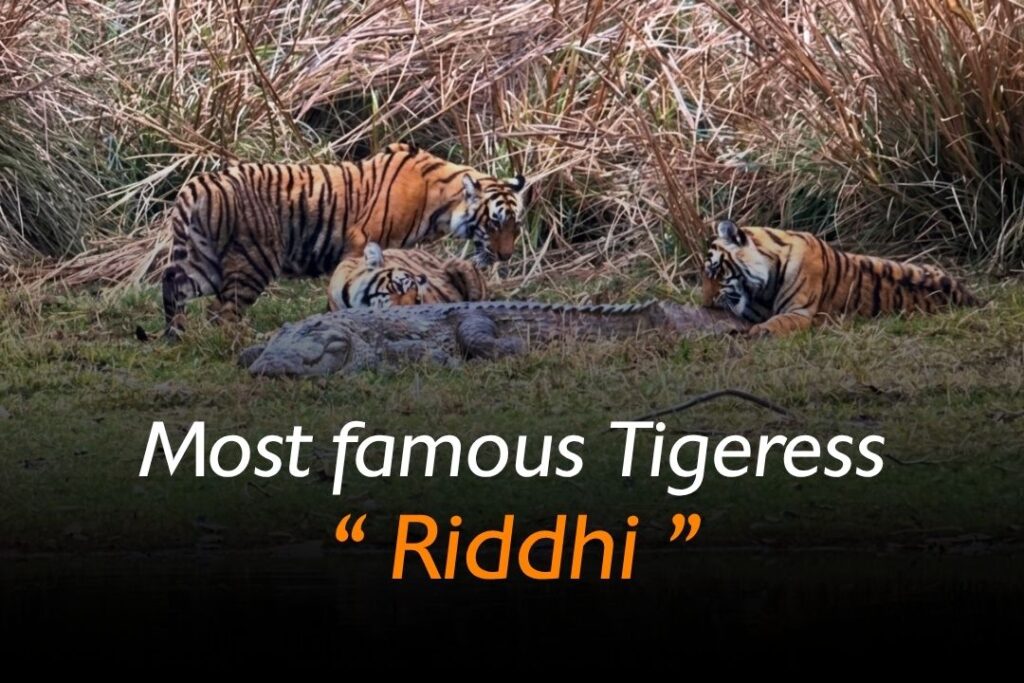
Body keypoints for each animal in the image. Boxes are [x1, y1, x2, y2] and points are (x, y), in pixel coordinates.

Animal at [703, 220, 980, 336]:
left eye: (717, 272)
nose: (705, 303)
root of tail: (968, 296)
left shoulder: (799, 312)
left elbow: (775, 322)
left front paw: (758, 332)